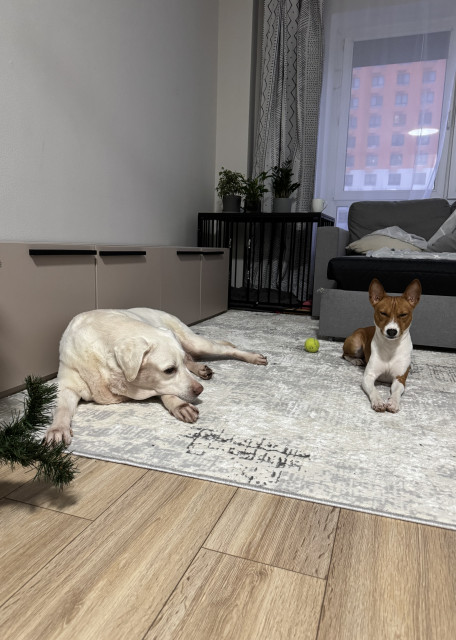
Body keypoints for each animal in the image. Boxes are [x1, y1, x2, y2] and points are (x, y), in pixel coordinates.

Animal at [45, 308, 268, 445]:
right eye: (169, 370)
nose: (200, 390)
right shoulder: (66, 384)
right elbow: (62, 408)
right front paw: (57, 429)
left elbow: (166, 391)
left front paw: (179, 405)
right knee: (191, 358)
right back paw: (201, 368)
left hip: (195, 341)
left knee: (223, 349)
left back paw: (253, 357)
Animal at [342, 278, 421, 413]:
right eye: (383, 313)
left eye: (403, 314)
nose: (391, 331)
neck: (391, 347)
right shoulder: (368, 376)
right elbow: (374, 390)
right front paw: (378, 402)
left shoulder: (400, 379)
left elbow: (396, 392)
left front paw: (393, 403)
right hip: (355, 343)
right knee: (345, 354)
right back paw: (356, 360)